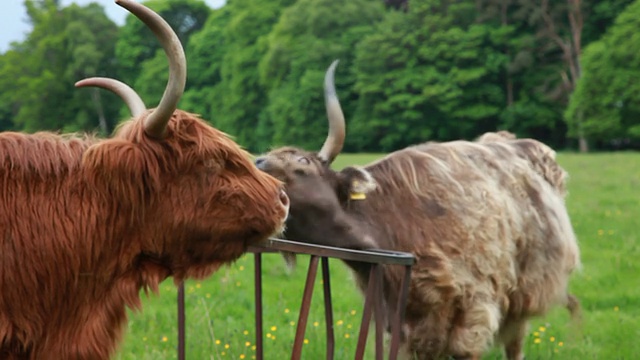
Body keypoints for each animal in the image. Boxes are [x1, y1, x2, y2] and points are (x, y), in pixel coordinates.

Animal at [255, 60, 580, 358]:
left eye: (303, 163)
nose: (257, 162)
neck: (387, 229)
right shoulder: (400, 321)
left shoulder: (473, 309)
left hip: (524, 292)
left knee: (515, 342)